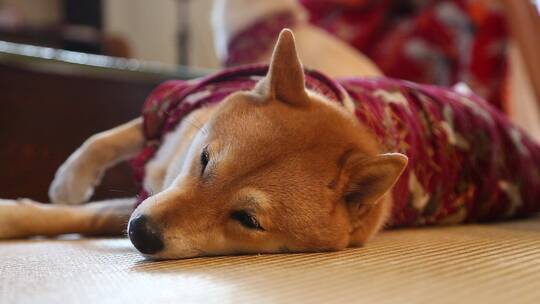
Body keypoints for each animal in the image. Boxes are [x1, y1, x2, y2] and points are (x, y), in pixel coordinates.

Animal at [1, 30, 540, 258]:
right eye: (204, 161)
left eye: (247, 220)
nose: (141, 234)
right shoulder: (176, 110)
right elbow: (112, 139)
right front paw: (65, 184)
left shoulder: (147, 196)